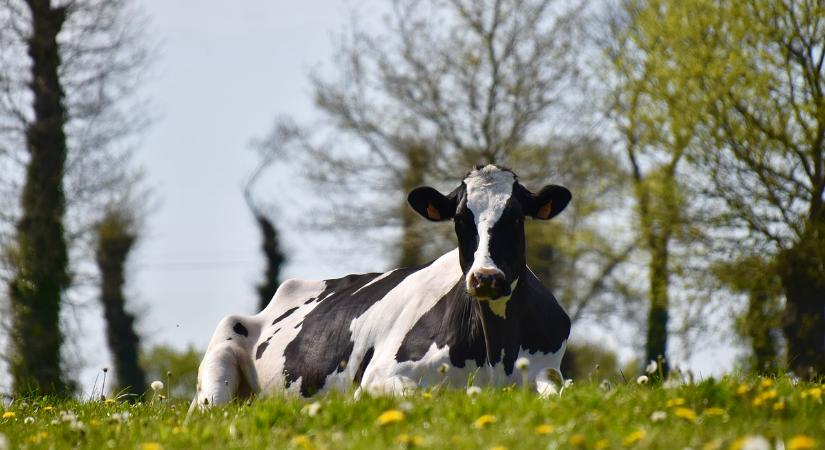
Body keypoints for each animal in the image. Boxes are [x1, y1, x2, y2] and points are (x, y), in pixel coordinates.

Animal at [190, 164, 568, 408]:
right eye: (461, 219)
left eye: (515, 217)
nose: (486, 277)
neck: (495, 352)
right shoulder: (378, 378)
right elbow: (420, 397)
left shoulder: (548, 370)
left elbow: (560, 392)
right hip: (218, 364)